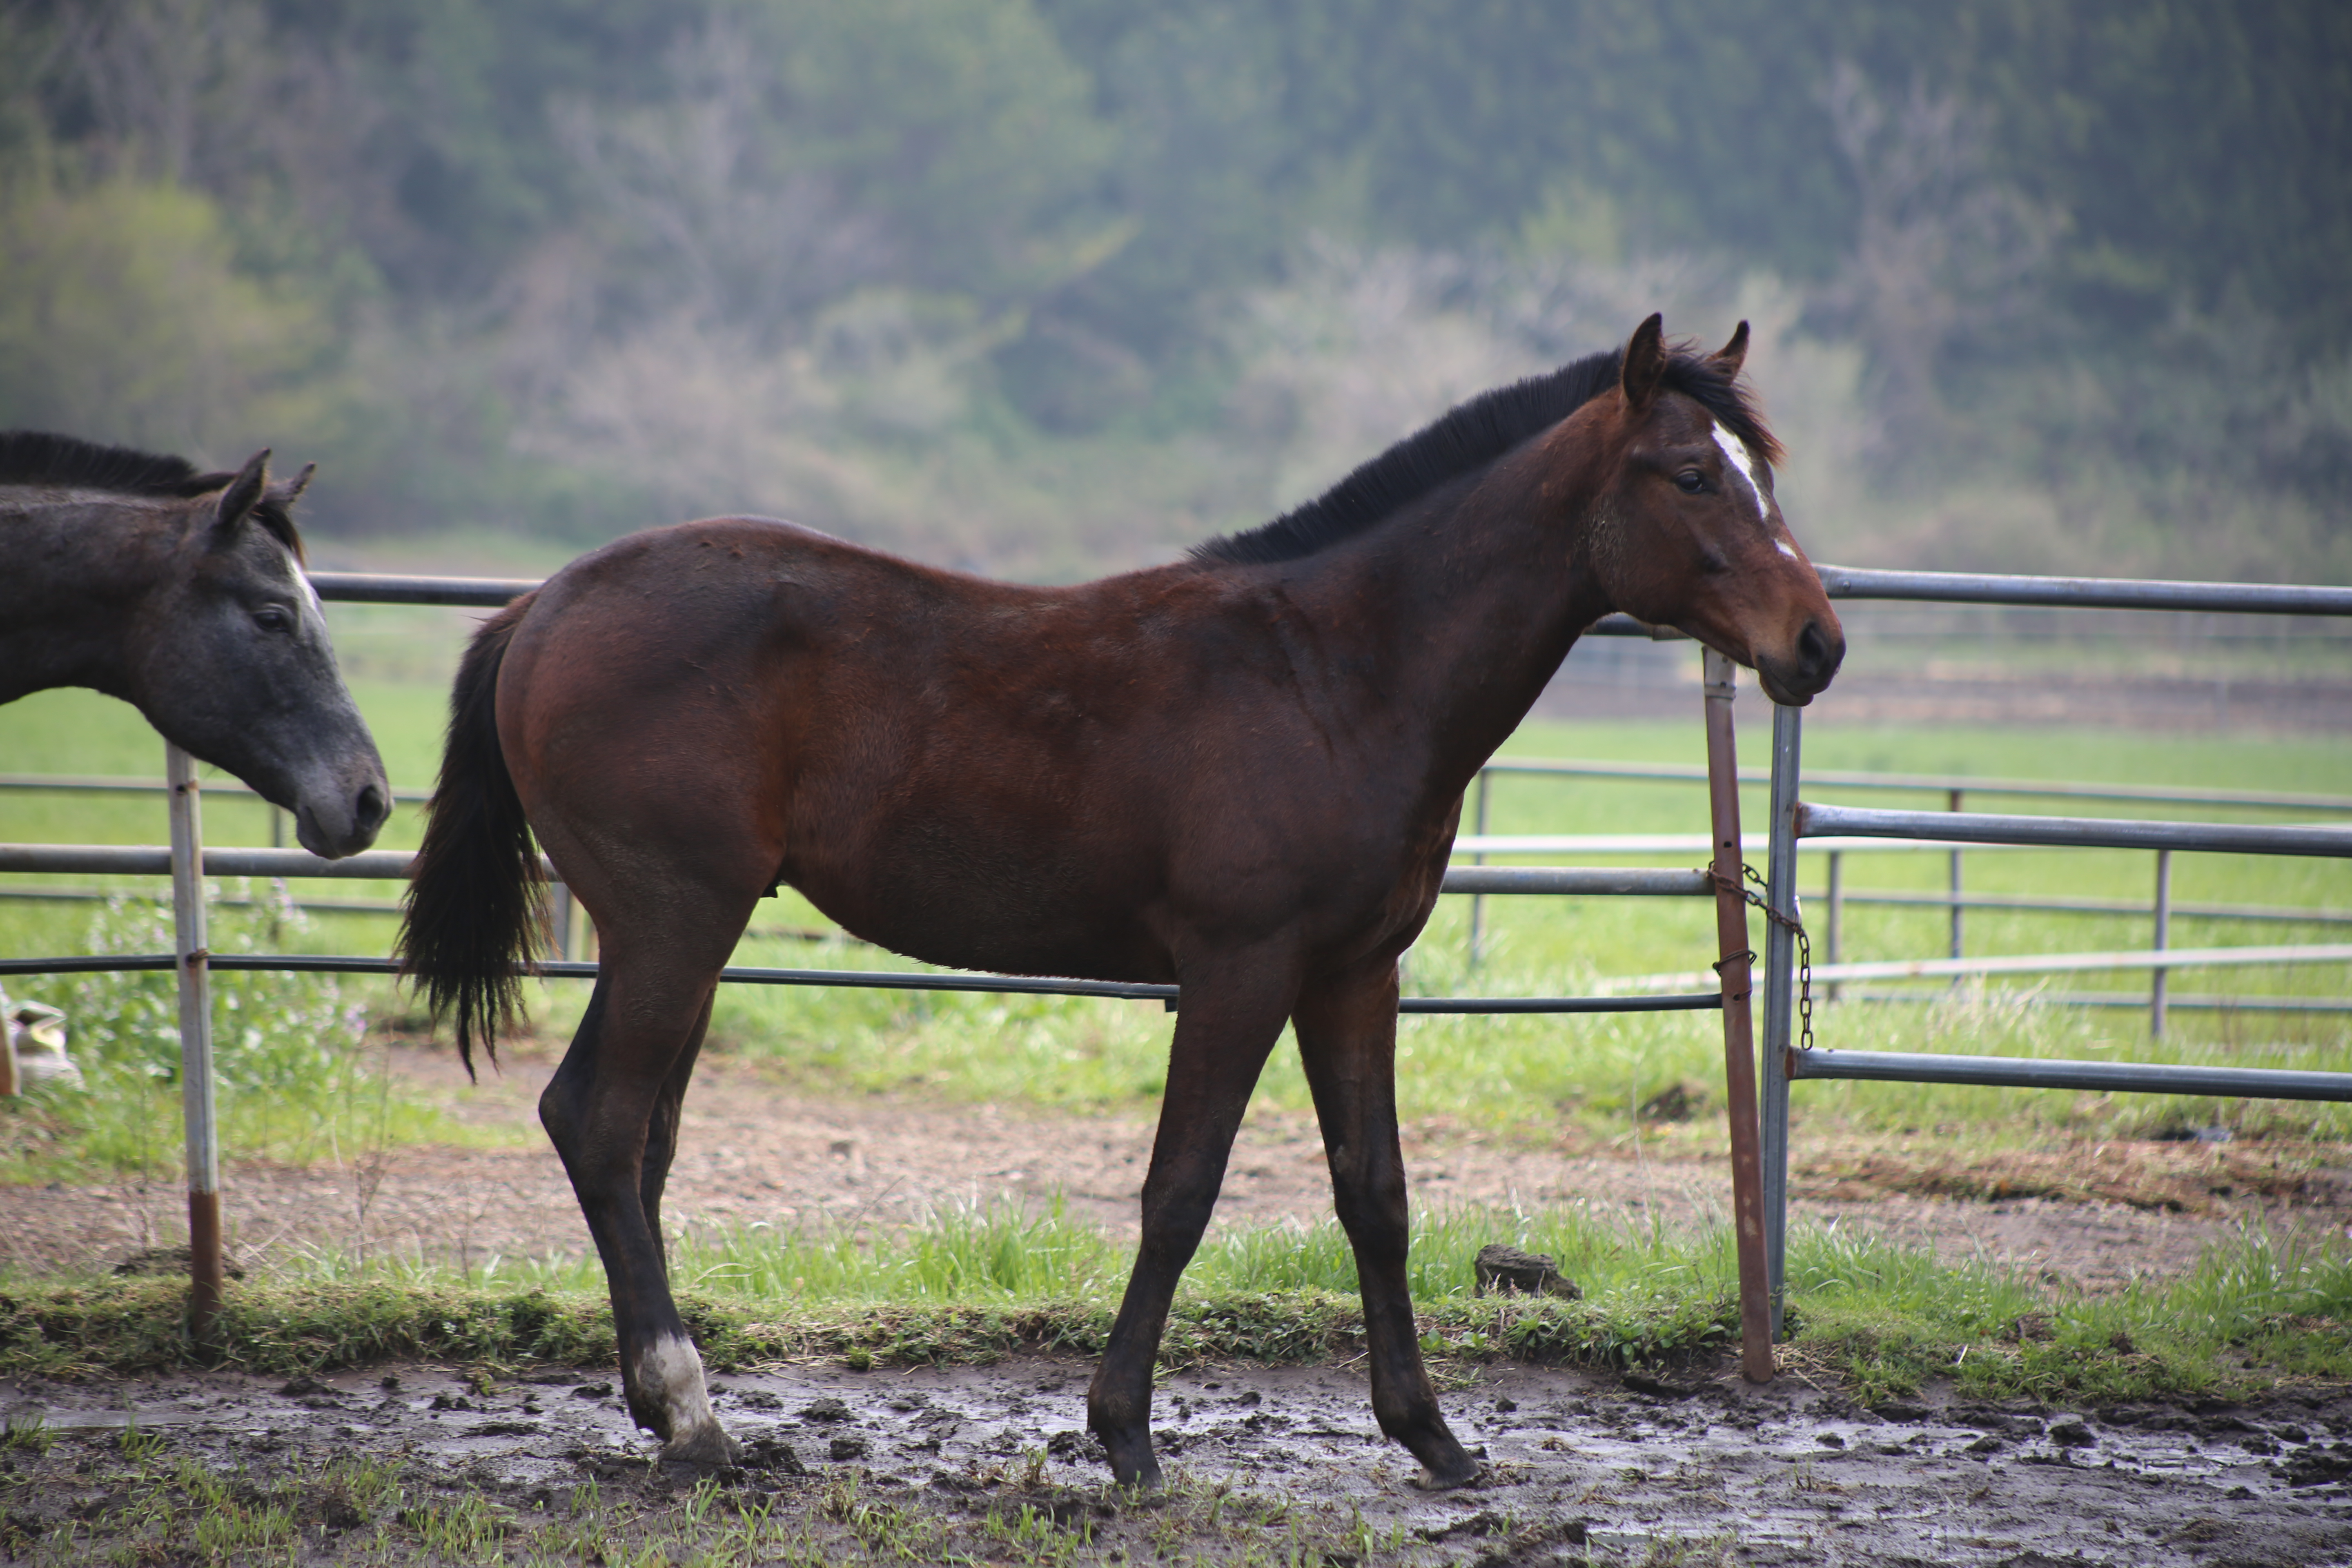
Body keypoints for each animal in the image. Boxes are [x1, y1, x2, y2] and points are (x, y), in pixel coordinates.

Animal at [400, 315, 1834, 1486]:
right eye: (1693, 474)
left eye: (1766, 473)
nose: (1817, 644)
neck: (1338, 671)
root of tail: (539, 606)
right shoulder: (1241, 969)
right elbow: (1182, 1189)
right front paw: (1127, 1435)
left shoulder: (1353, 975)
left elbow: (1375, 1194)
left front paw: (1432, 1437)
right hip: (674, 925)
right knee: (604, 1125)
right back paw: (694, 1418)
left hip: (676, 933)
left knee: (619, 1136)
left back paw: (662, 1408)